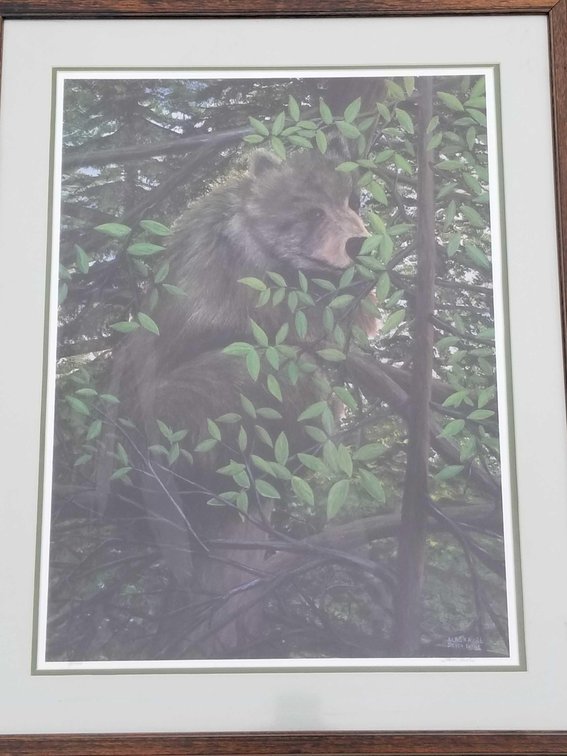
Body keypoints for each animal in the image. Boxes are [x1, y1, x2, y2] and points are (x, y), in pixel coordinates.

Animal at [105, 148, 377, 657]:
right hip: (208, 406)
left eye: (352, 201)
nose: (360, 245)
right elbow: (289, 326)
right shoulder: (243, 289)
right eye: (312, 212)